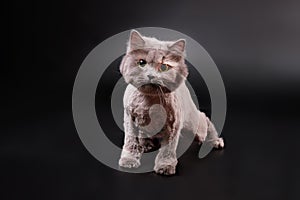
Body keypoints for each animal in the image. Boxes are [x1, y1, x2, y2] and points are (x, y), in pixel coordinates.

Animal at [118, 30, 224, 175]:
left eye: (163, 67)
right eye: (142, 62)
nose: (150, 75)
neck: (150, 100)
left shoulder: (173, 125)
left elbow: (167, 150)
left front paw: (165, 166)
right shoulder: (130, 120)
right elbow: (131, 141)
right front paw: (129, 160)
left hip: (193, 124)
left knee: (204, 119)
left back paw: (216, 141)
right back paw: (146, 145)